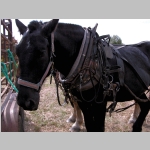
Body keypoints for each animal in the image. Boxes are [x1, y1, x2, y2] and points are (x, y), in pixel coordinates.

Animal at [14, 19, 149, 132]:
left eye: (41, 52)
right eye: (17, 51)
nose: (24, 101)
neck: (88, 57)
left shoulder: (100, 104)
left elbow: (99, 128)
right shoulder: (83, 102)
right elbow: (89, 125)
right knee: (145, 105)